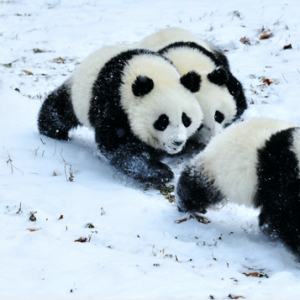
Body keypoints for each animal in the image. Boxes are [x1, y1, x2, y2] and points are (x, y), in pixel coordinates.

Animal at [36, 45, 203, 184]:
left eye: (185, 119)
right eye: (162, 121)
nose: (177, 142)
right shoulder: (114, 101)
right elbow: (118, 144)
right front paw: (158, 172)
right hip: (79, 96)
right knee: (60, 110)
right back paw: (53, 131)